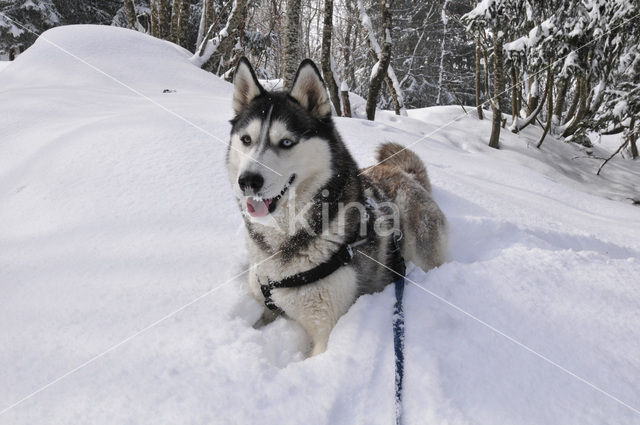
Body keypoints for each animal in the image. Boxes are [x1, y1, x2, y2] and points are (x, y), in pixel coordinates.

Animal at [228, 56, 448, 354]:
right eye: (246, 140)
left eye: (286, 142)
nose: (248, 181)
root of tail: (407, 175)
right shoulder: (264, 300)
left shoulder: (325, 329)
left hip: (422, 250)